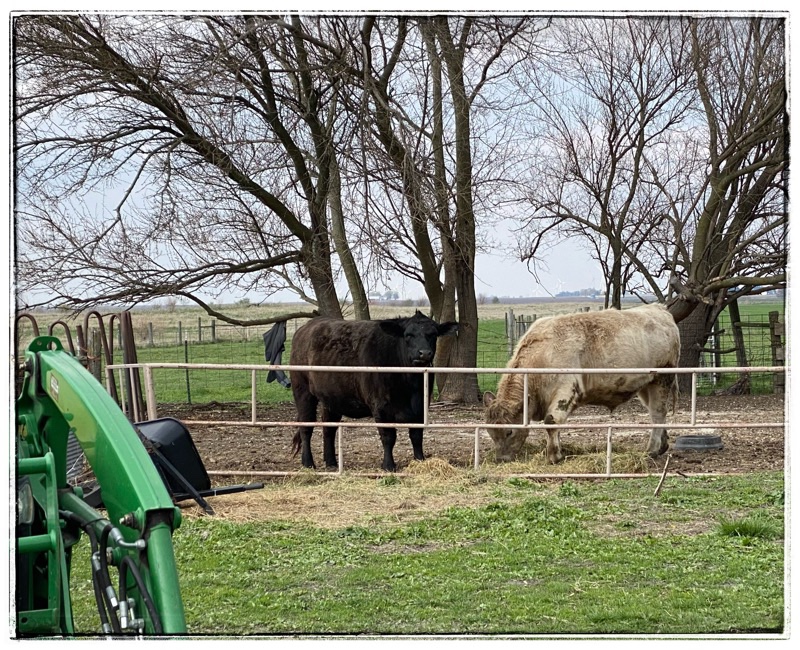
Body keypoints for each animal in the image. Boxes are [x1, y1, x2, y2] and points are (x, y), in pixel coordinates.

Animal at [289, 311, 458, 472]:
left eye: (433, 334)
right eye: (408, 335)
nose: (424, 353)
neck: (410, 385)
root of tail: (306, 327)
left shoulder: (421, 407)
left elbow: (416, 436)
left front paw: (420, 461)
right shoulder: (381, 406)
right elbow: (388, 437)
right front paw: (388, 465)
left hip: (332, 398)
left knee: (328, 428)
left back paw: (331, 463)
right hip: (303, 392)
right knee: (306, 427)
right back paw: (308, 463)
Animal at [483, 303, 680, 464]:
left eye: (509, 431)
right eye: (490, 432)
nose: (501, 459)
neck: (542, 355)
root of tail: (659, 309)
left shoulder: (565, 391)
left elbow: (551, 421)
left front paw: (553, 456)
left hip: (662, 379)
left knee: (658, 412)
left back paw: (652, 450)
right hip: (646, 385)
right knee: (654, 411)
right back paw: (662, 445)